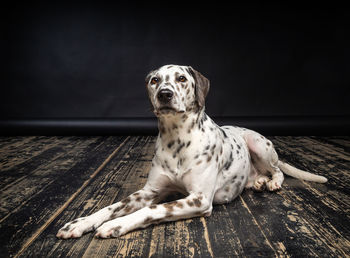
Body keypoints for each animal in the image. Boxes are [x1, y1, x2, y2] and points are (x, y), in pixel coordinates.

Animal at [56, 65, 326, 240]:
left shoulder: (199, 199)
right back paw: (259, 181)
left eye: (181, 78)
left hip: (258, 144)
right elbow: (112, 206)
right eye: (155, 80)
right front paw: (81, 222)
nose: (165, 94)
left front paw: (117, 224)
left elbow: (153, 210)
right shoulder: (149, 191)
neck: (177, 140)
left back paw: (272, 182)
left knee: (278, 169)